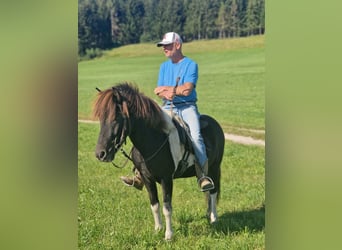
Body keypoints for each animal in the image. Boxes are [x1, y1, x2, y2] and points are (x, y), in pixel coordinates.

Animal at [93, 82, 224, 240]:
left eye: (115, 118)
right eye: (101, 118)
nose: (100, 154)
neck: (153, 140)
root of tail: (215, 123)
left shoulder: (166, 179)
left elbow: (167, 207)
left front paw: (168, 235)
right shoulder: (147, 178)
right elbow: (154, 204)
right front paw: (158, 229)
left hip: (215, 168)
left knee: (213, 192)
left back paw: (214, 218)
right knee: (208, 193)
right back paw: (208, 213)